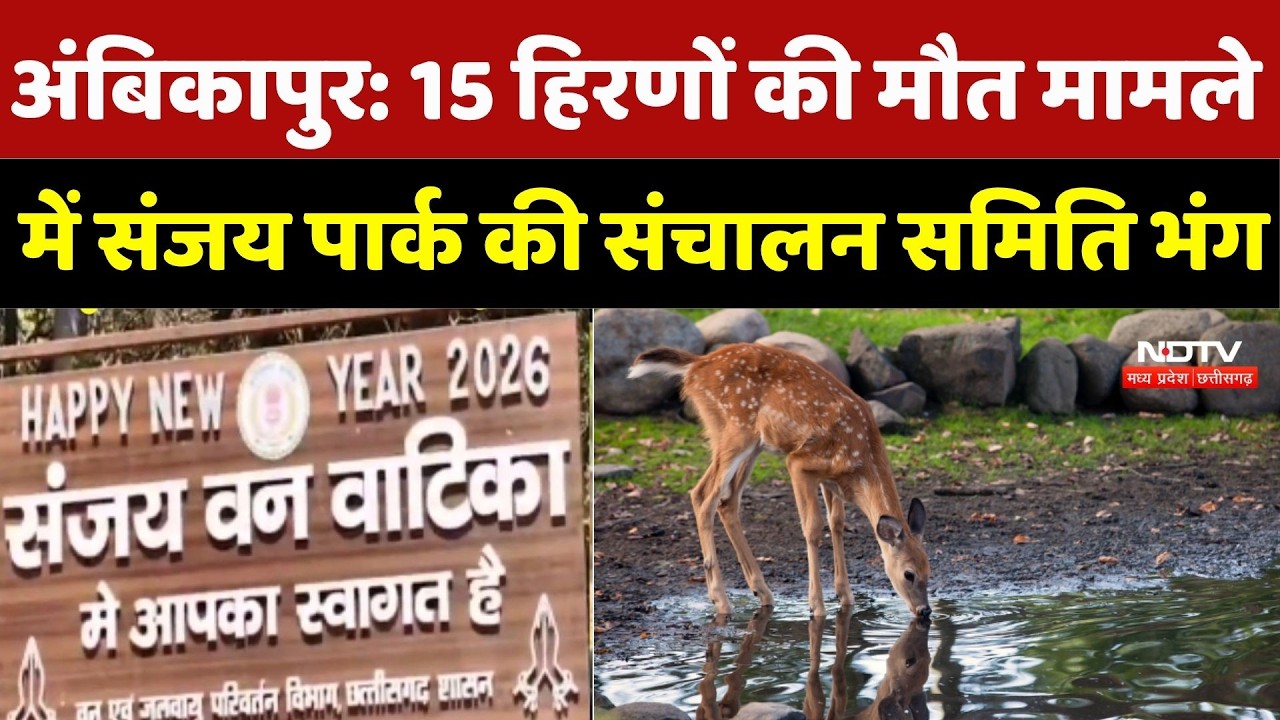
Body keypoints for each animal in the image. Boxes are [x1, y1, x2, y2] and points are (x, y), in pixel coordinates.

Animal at [627, 342, 931, 621]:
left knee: (728, 501)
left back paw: (761, 592)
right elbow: (813, 527)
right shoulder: (800, 463)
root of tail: (697, 365)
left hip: (752, 443)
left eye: (929, 568)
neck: (861, 462)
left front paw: (845, 597)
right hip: (734, 429)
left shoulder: (830, 480)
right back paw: (721, 601)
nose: (925, 611)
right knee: (703, 495)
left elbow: (837, 523)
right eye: (909, 574)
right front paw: (816, 606)